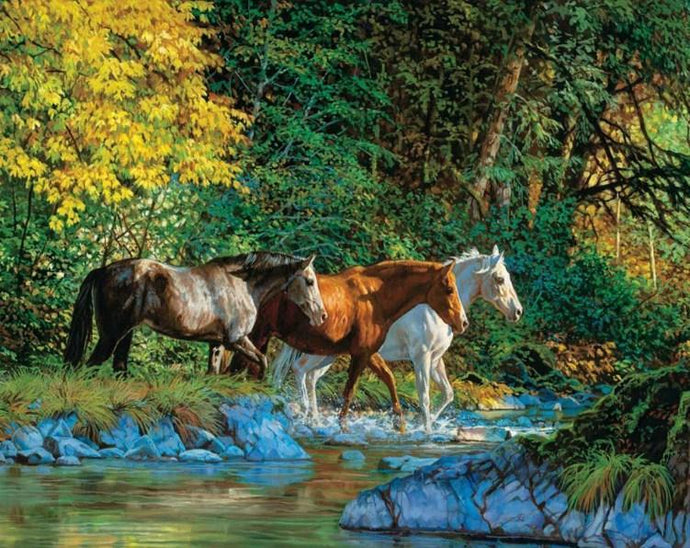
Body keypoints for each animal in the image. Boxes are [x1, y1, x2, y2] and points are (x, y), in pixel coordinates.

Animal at [63, 252, 327, 377]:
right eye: (310, 281)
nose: (322, 316)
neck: (243, 285)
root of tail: (103, 270)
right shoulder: (236, 340)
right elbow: (262, 361)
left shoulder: (217, 344)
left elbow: (212, 374)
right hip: (110, 335)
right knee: (88, 368)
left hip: (124, 335)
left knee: (118, 368)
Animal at [219, 259, 468, 432]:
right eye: (449, 289)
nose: (462, 322)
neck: (374, 298)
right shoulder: (367, 354)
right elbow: (350, 392)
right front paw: (343, 427)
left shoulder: (369, 353)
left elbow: (389, 380)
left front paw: (401, 425)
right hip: (261, 338)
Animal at [272, 246, 523, 433]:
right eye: (499, 279)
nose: (518, 312)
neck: (430, 309)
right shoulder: (421, 358)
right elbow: (424, 396)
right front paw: (425, 431)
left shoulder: (435, 360)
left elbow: (447, 394)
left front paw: (423, 424)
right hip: (323, 353)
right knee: (300, 369)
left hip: (329, 355)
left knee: (310, 376)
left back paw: (314, 420)